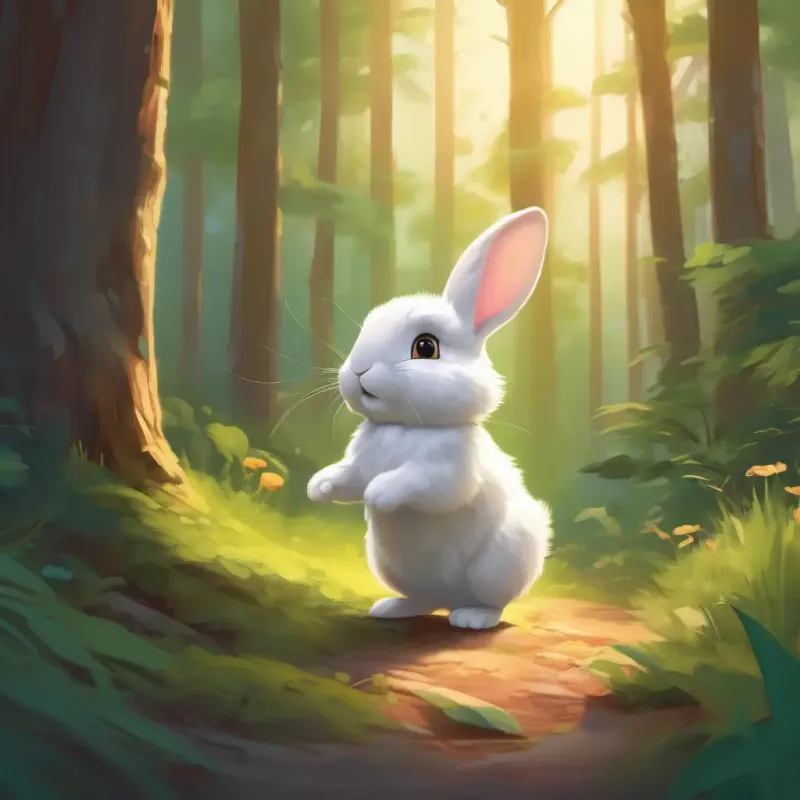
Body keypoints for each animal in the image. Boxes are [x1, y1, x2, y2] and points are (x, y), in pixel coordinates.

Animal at [306, 206, 553, 630]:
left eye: (425, 347)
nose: (357, 370)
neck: (405, 427)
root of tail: (447, 599)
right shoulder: (357, 464)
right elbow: (348, 479)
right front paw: (318, 487)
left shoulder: (447, 471)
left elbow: (421, 484)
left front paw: (378, 494)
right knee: (421, 599)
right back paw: (392, 608)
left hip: (500, 562)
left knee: (493, 603)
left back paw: (472, 618)